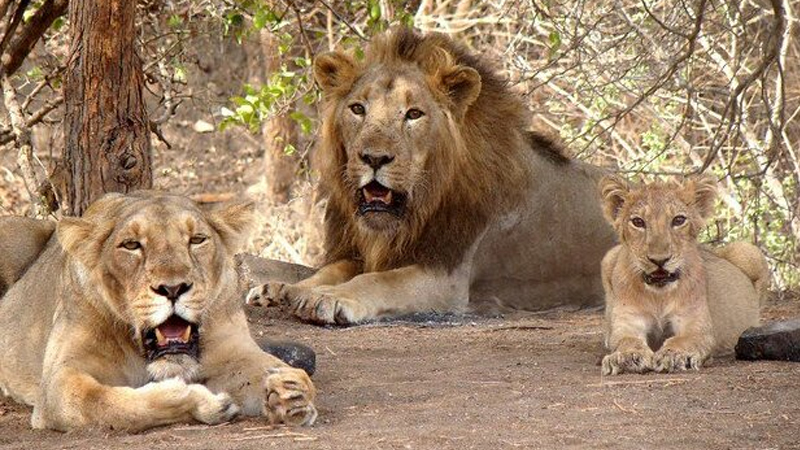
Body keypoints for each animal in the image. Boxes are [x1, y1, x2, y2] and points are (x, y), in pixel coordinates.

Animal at [0, 191, 317, 431]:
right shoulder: (58, 381)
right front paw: (201, 402)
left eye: (197, 240)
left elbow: (274, 369)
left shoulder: (233, 351)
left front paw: (290, 391)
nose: (173, 288)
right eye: (131, 245)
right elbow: (109, 405)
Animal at [246, 26, 617, 324]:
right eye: (357, 109)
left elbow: (379, 281)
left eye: (413, 114)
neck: (417, 209)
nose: (374, 158)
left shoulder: (447, 277)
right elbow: (329, 270)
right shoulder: (363, 252)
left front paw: (327, 297)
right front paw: (283, 288)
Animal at [598, 175, 767, 375]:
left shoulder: (696, 325)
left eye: (678, 220)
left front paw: (675, 356)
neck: (659, 296)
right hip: (609, 257)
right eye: (638, 222)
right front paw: (626, 357)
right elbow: (626, 340)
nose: (659, 260)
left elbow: (683, 340)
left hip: (748, 250)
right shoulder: (627, 322)